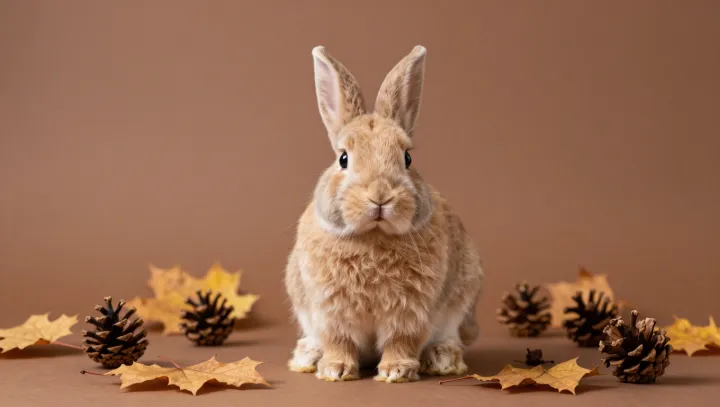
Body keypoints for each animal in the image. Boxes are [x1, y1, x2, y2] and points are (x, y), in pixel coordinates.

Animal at [284, 45, 484, 383]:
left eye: (407, 158)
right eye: (343, 158)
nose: (380, 195)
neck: (373, 236)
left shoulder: (410, 310)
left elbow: (401, 340)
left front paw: (396, 372)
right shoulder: (330, 310)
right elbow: (339, 340)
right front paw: (335, 369)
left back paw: (442, 358)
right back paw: (308, 356)